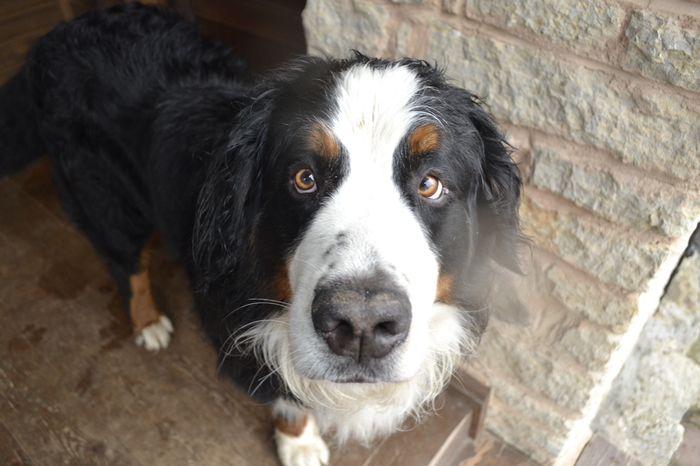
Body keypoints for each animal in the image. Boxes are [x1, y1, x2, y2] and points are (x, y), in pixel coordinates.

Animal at [0, 3, 524, 466]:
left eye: (430, 183)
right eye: (303, 178)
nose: (360, 327)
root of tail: (52, 38)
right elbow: (285, 395)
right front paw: (299, 443)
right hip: (104, 197)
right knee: (124, 261)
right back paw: (147, 321)